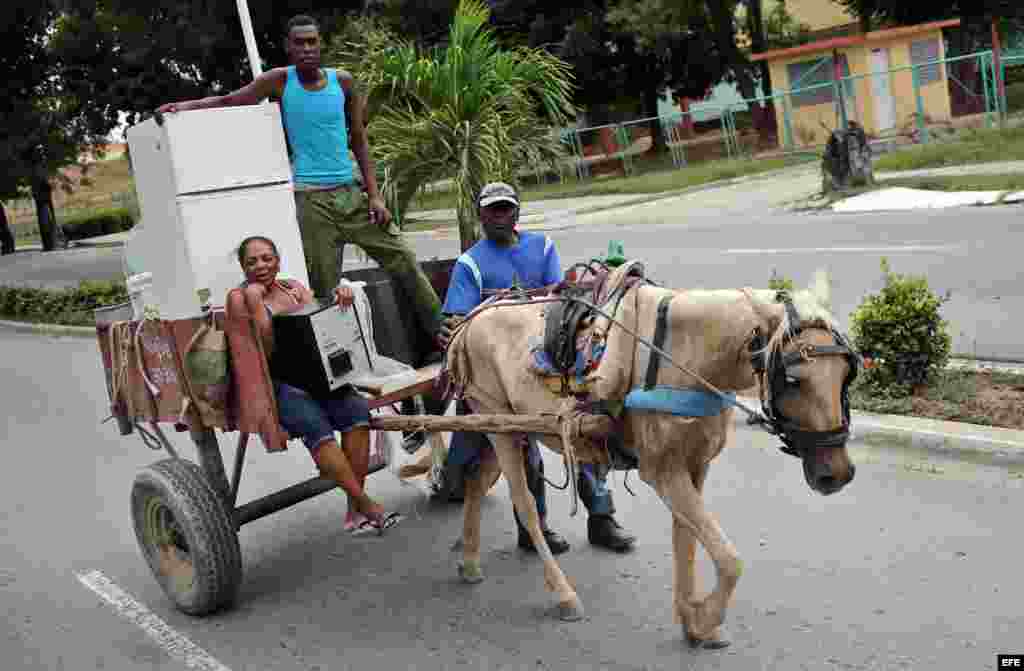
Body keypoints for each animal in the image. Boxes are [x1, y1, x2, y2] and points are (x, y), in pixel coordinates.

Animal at [444, 264, 860, 647]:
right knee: (525, 504)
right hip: (498, 420)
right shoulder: (662, 470)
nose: (836, 473)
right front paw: (706, 616)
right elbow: (729, 560)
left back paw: (469, 559)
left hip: (506, 426)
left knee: (476, 480)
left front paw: (691, 620)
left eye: (847, 373)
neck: (684, 355)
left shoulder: (694, 465)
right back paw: (563, 595)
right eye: (792, 380)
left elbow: (686, 538)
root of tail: (472, 319)